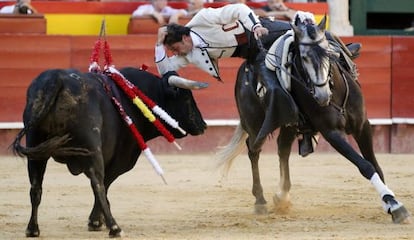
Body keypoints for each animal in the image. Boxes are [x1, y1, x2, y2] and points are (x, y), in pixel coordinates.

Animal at [12, 66, 206, 237]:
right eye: (186, 98)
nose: (203, 125)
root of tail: (56, 79)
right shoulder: (118, 159)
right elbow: (105, 186)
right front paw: (96, 221)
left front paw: (97, 221)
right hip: (91, 149)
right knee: (97, 184)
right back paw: (115, 228)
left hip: (35, 147)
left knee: (35, 187)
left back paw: (32, 229)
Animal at [217, 15, 410, 224]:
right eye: (303, 58)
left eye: (329, 54)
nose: (322, 96)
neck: (336, 95)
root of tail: (245, 67)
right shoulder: (332, 133)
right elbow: (365, 165)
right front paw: (395, 205)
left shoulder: (362, 126)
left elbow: (375, 165)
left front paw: (389, 202)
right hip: (254, 123)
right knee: (254, 150)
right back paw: (260, 200)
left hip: (289, 123)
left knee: (283, 149)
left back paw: (282, 196)